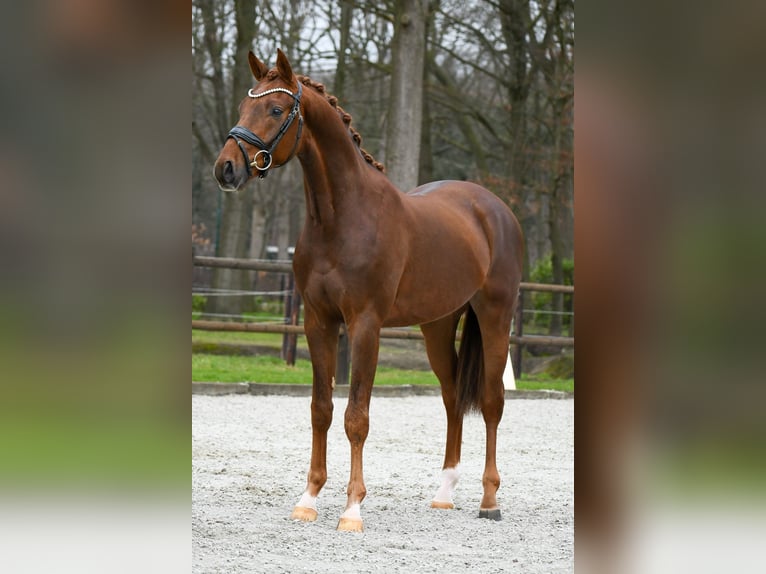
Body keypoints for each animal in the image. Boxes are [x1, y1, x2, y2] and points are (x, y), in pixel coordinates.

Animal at [214, 49, 524, 532]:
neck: (341, 218)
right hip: (438, 325)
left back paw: (489, 500)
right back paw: (444, 493)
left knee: (492, 402)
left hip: (496, 316)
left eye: (277, 109)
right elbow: (321, 410)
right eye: (246, 106)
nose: (226, 168)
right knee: (453, 396)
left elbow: (356, 416)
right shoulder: (318, 322)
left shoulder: (365, 326)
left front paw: (352, 509)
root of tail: (493, 208)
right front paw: (308, 499)